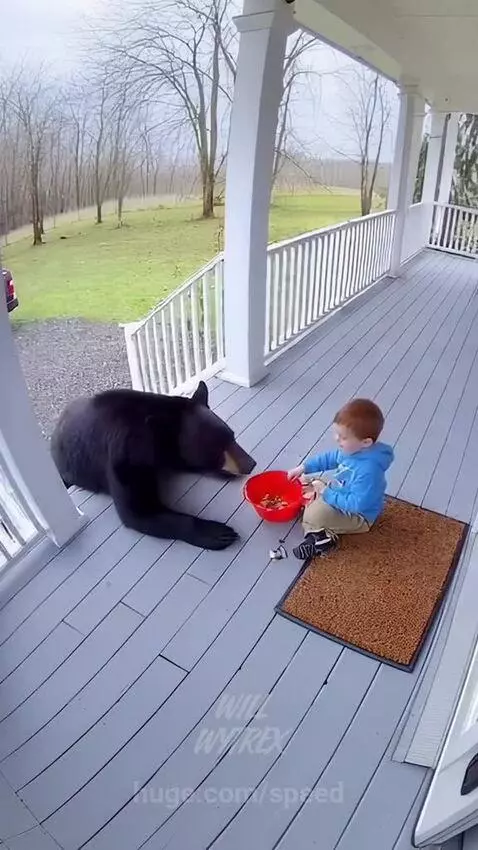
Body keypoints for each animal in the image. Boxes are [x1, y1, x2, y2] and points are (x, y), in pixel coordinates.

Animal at [50, 381, 256, 550]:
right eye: (217, 448)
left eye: (232, 437)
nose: (251, 464)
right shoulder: (122, 455)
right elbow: (137, 510)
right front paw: (217, 532)